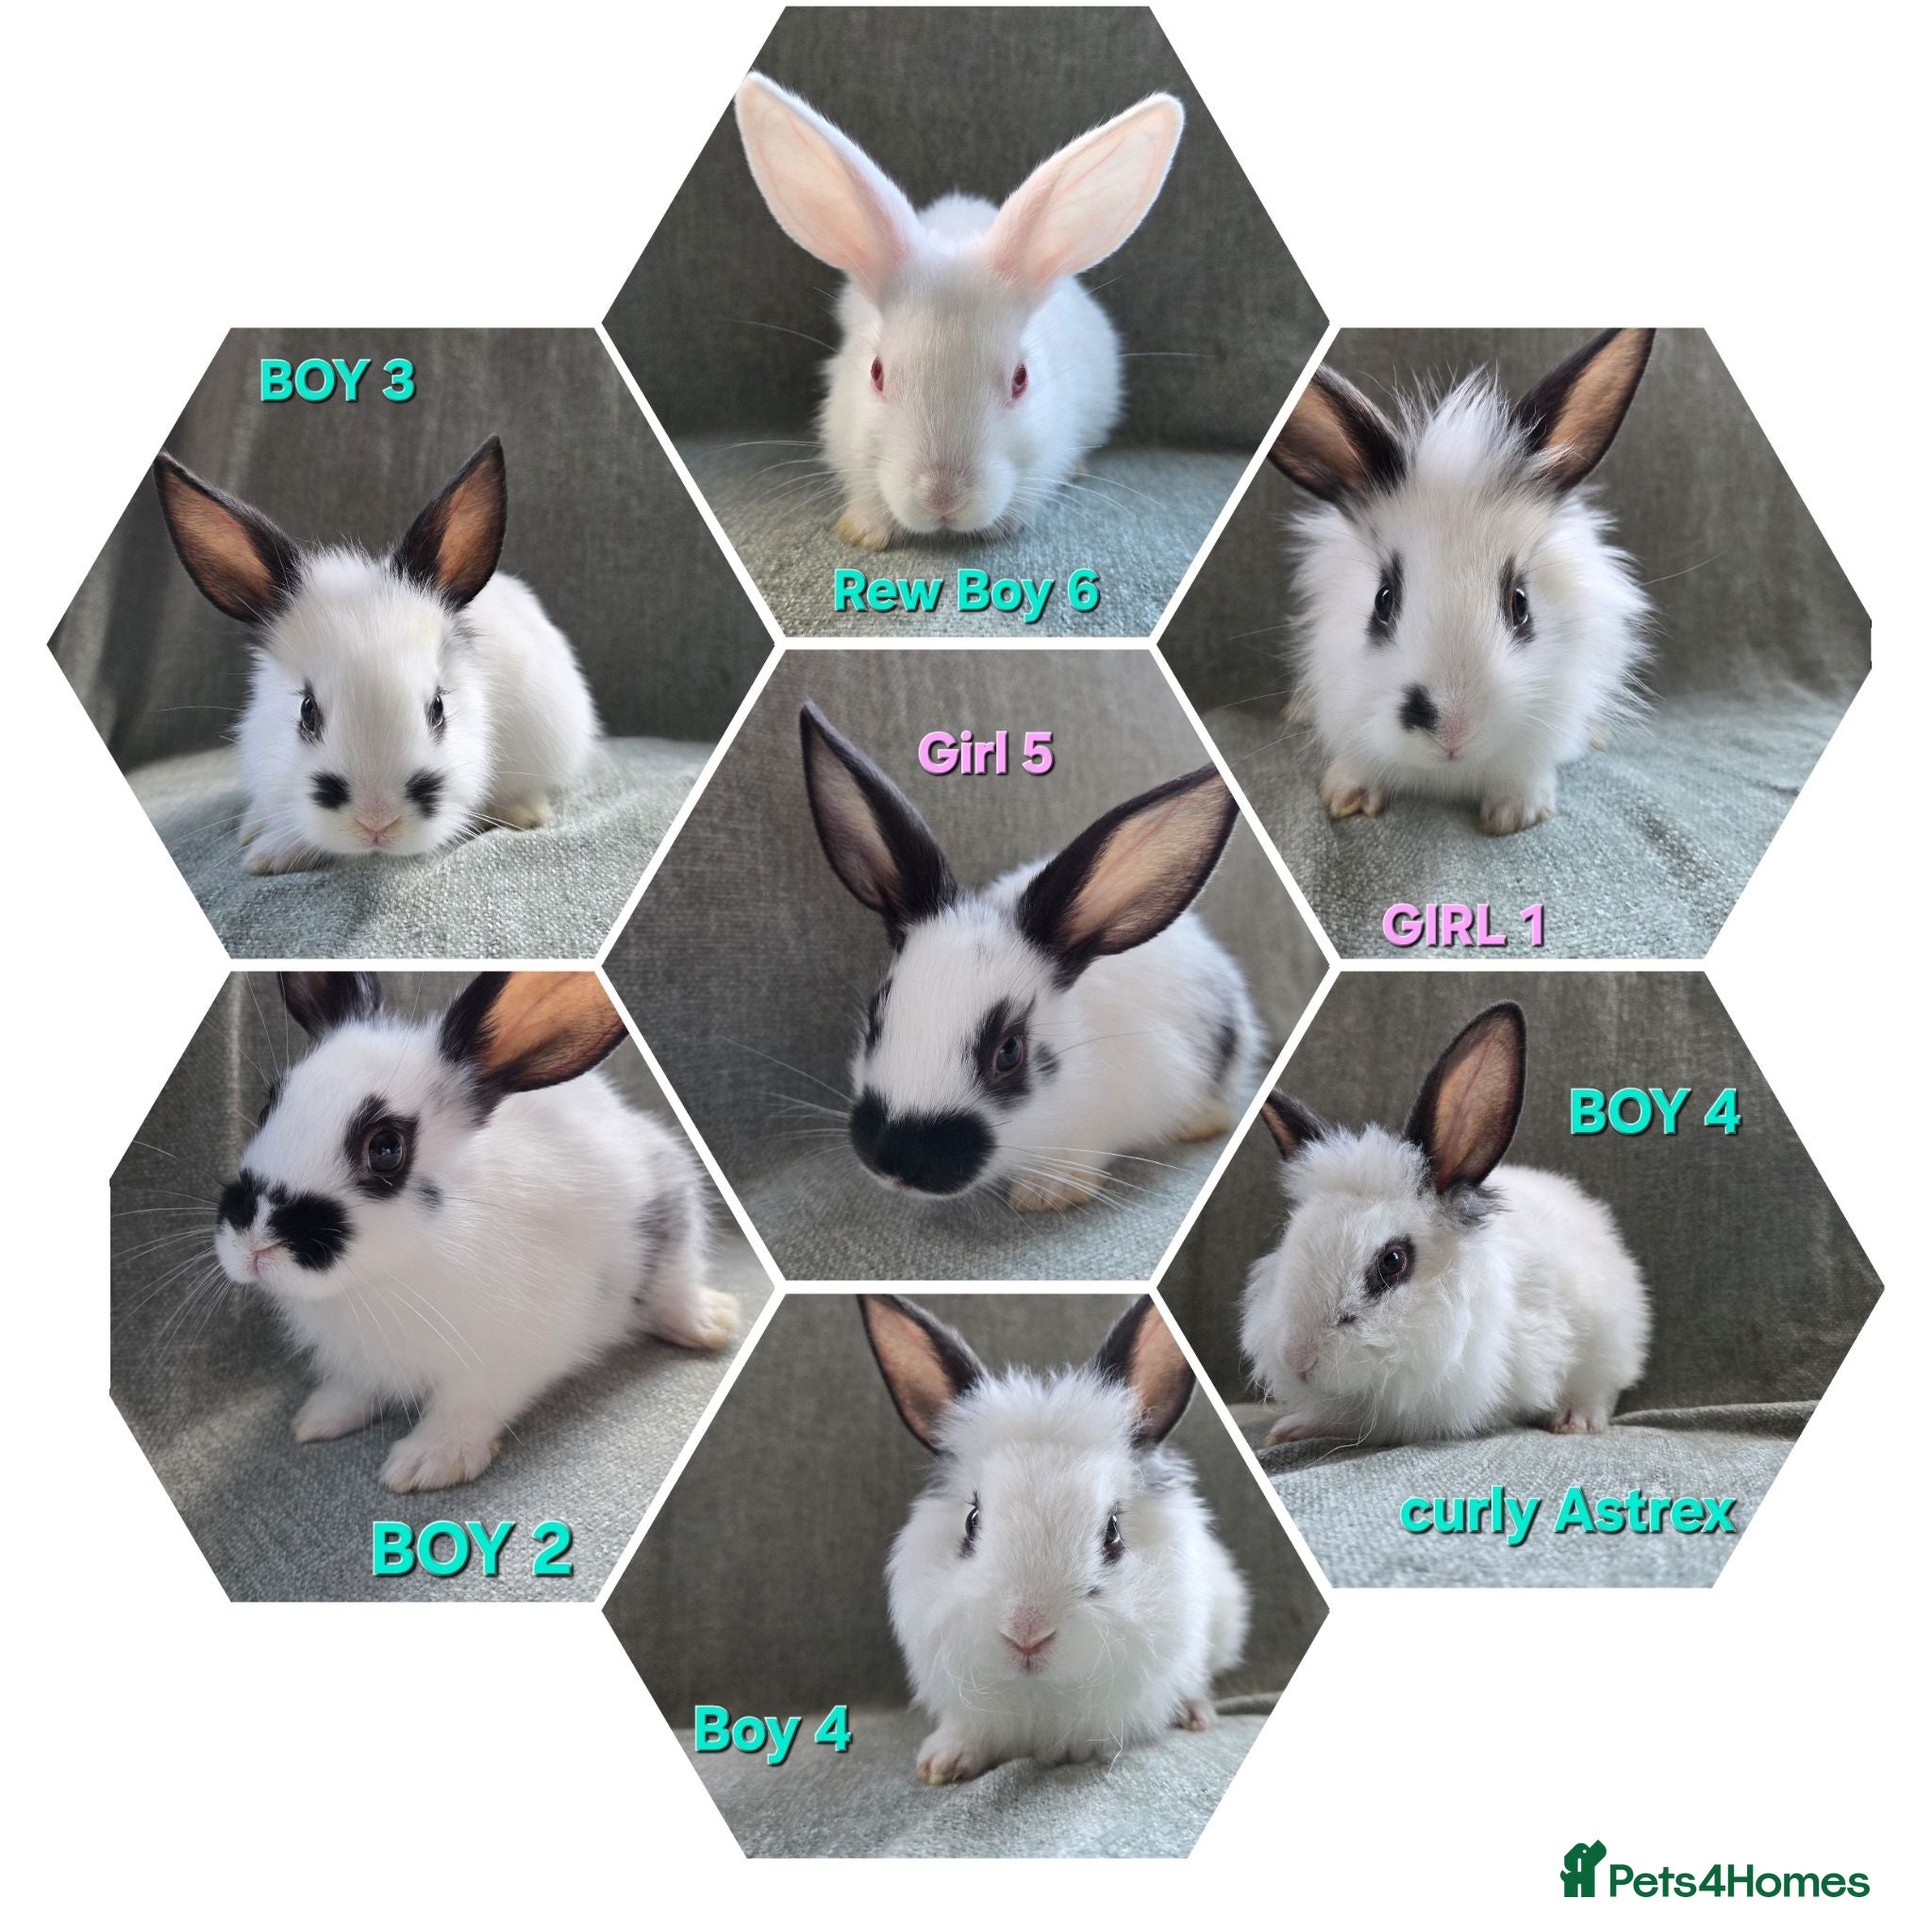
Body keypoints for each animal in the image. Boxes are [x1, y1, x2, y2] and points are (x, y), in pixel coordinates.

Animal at [209, 970, 739, 1492]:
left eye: (385, 1149)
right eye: (268, 1106)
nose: (254, 1243)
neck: (378, 1283)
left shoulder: (506, 1355)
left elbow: (464, 1408)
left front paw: (427, 1464)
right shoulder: (361, 1361)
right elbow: (357, 1389)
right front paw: (318, 1419)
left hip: (671, 1215)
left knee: (675, 1288)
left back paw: (710, 1325)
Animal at [861, 1292, 1250, 1783]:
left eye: (1113, 1533)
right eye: (971, 1522)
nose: (1026, 1634)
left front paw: (1070, 1752)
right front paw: (940, 1765)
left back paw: (1195, 1714)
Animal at [1241, 1000, 1650, 1448]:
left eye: (1392, 1261)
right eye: (1290, 1241)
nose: (1298, 1358)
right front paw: (1289, 1429)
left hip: (1608, 1339)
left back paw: (1576, 1420)